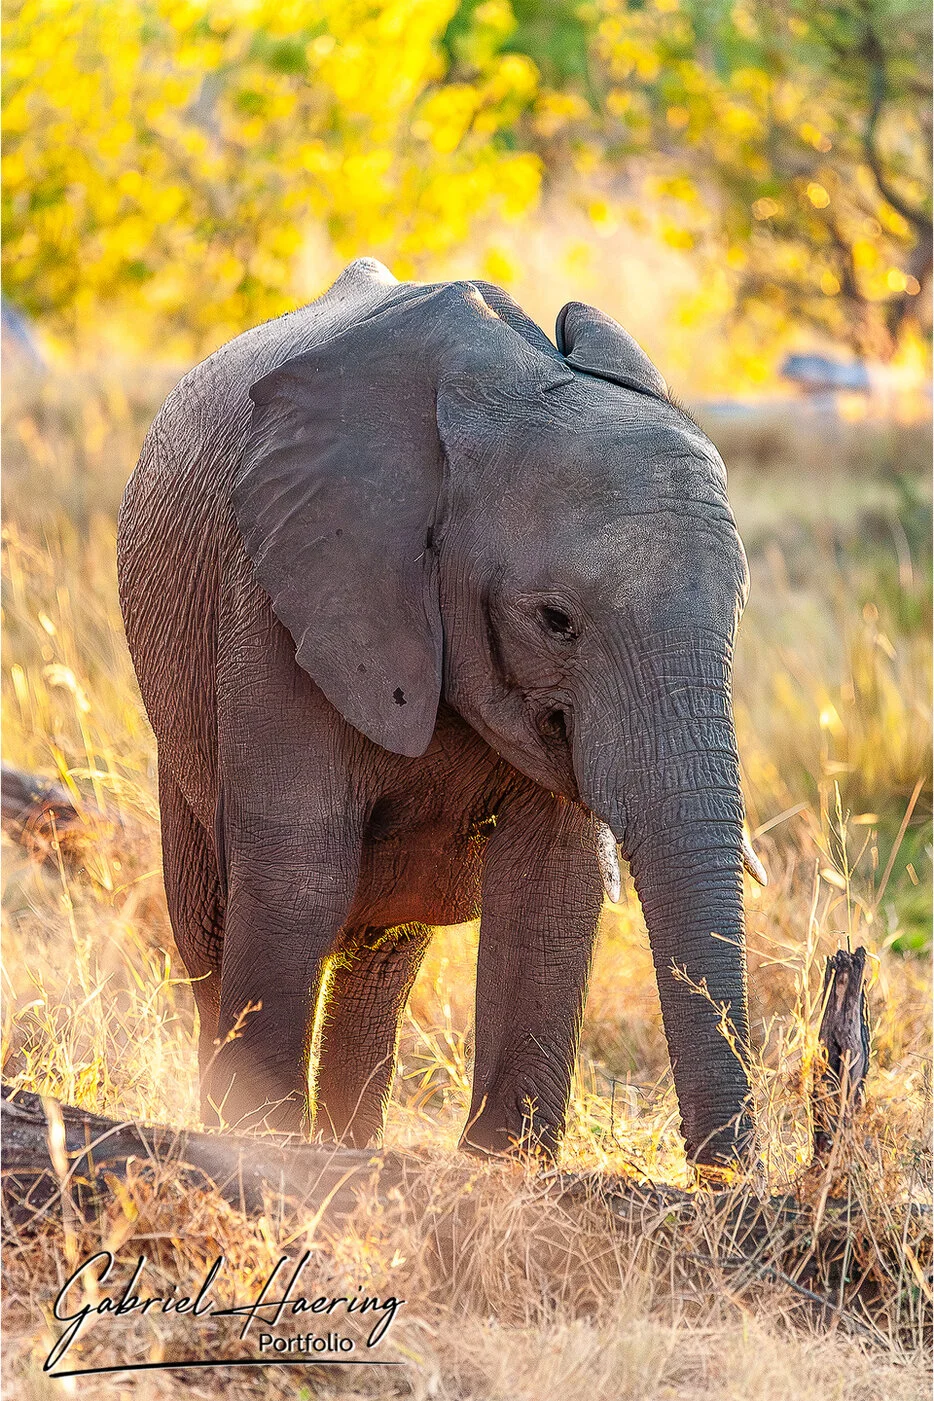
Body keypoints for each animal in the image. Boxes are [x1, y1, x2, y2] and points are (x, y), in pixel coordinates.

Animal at [117, 257, 767, 1171]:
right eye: (555, 620)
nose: (724, 1172)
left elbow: (547, 892)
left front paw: (499, 1169)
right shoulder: (284, 583)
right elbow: (296, 874)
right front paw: (264, 1145)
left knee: (382, 955)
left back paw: (351, 1142)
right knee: (212, 930)